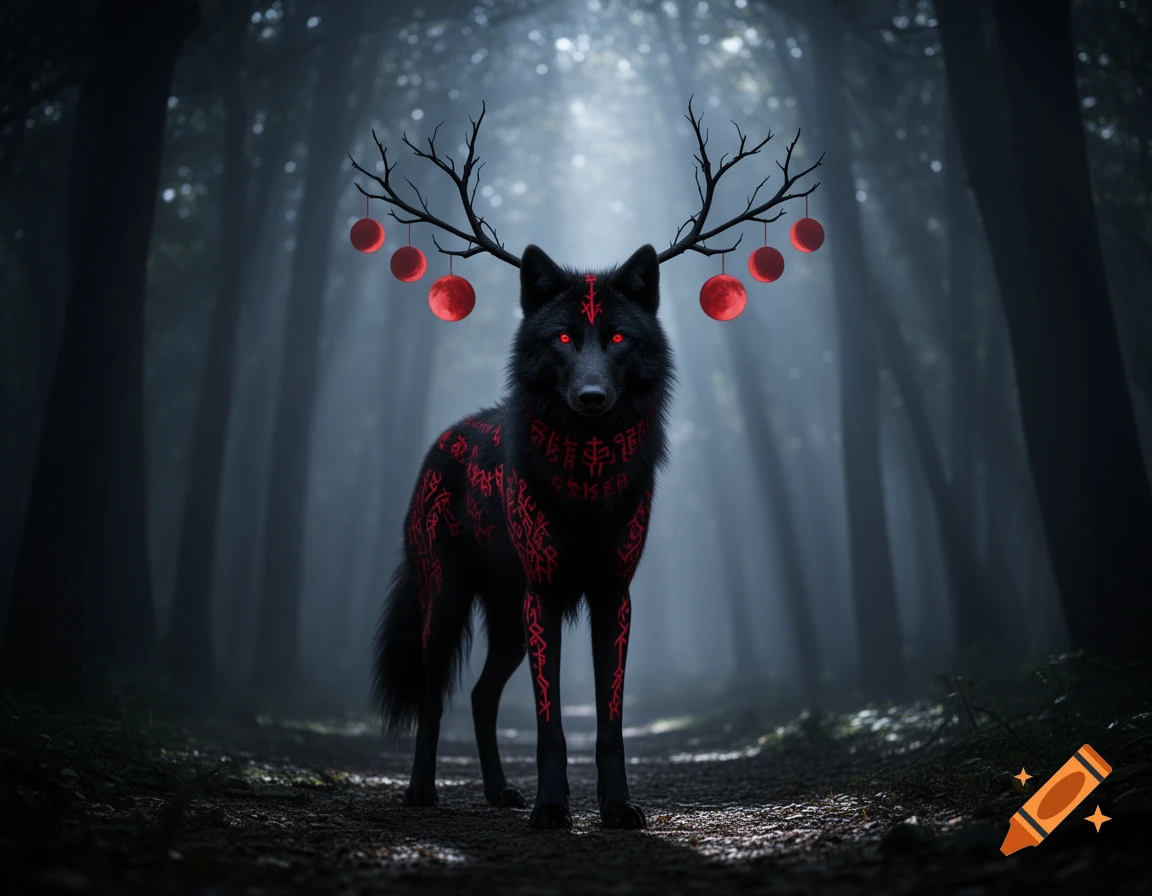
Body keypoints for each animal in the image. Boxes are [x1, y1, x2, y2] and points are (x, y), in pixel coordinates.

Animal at [373, 242, 672, 830]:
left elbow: (609, 727)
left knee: (481, 697)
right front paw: (552, 808)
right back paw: (421, 791)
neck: (586, 471)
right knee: (434, 701)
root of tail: (445, 439)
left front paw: (617, 807)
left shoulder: (613, 598)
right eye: (564, 339)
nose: (591, 396)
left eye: (617, 339)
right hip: (446, 610)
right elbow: (550, 728)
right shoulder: (546, 597)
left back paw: (498, 791)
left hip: (510, 626)